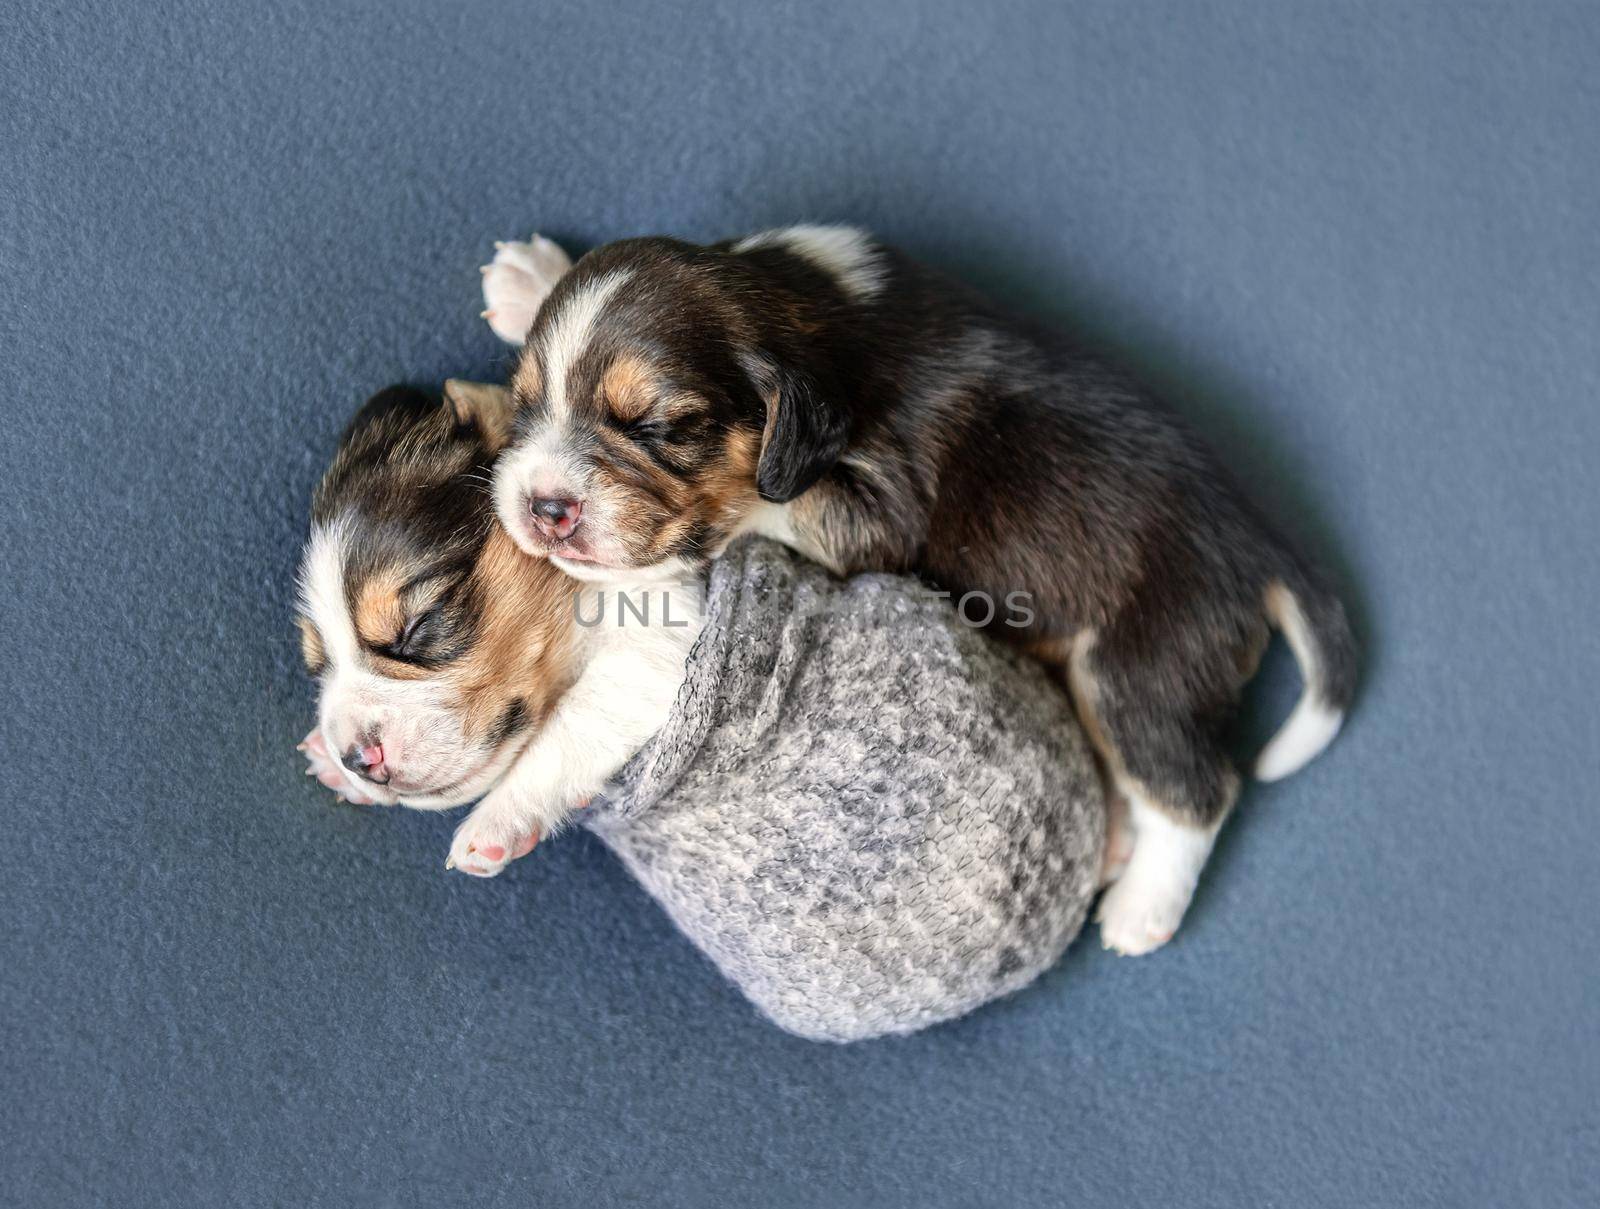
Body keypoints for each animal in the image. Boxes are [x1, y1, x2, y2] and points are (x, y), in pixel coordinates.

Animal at [296, 382, 707, 876]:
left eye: (418, 625)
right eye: (316, 665)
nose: (357, 760)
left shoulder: (660, 637)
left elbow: (575, 720)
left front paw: (498, 819)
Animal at [480, 227, 1356, 953]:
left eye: (657, 426)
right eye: (525, 403)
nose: (543, 506)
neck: (804, 305)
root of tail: (1262, 544)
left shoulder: (877, 511)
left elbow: (759, 503)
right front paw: (532, 279)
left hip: (1140, 669)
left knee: (1198, 792)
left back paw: (1143, 908)